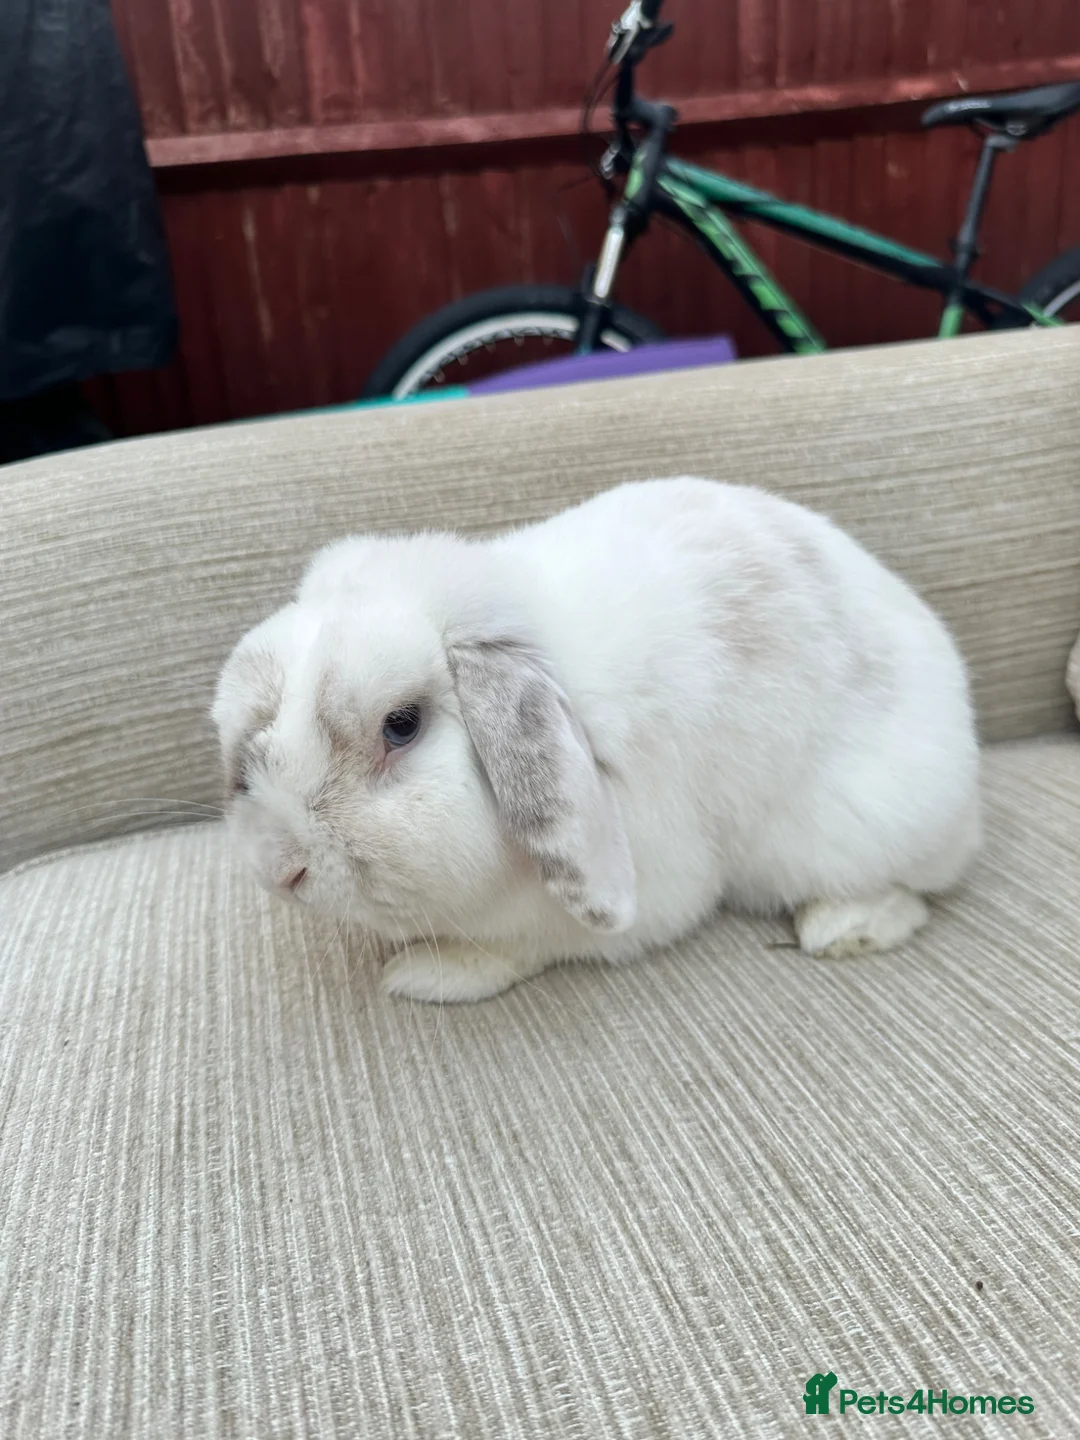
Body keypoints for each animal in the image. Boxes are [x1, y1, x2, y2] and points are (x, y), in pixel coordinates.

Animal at [212, 477, 980, 1004]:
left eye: (402, 725)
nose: (280, 872)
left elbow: (521, 945)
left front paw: (427, 974)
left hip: (848, 830)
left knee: (911, 892)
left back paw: (842, 929)